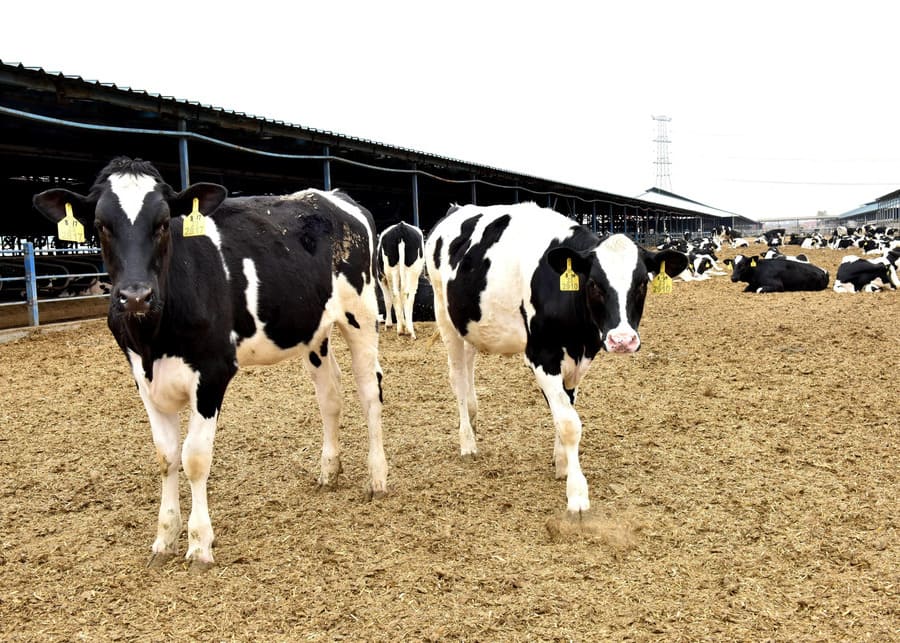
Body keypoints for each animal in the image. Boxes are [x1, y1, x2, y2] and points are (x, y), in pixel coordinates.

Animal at [32, 157, 388, 569]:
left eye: (162, 222)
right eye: (102, 224)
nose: (135, 296)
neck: (154, 340)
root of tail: (334, 196)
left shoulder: (213, 373)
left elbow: (195, 458)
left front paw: (200, 543)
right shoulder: (143, 379)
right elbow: (166, 456)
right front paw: (164, 539)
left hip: (362, 314)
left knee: (370, 392)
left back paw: (377, 477)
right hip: (313, 331)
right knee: (330, 395)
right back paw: (329, 471)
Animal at [424, 202, 687, 513]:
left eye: (642, 284)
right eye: (594, 284)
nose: (622, 340)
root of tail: (455, 209)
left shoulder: (578, 359)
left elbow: (566, 407)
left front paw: (561, 462)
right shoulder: (541, 355)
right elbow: (569, 422)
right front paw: (577, 492)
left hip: (469, 325)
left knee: (468, 369)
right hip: (444, 314)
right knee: (458, 379)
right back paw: (467, 441)